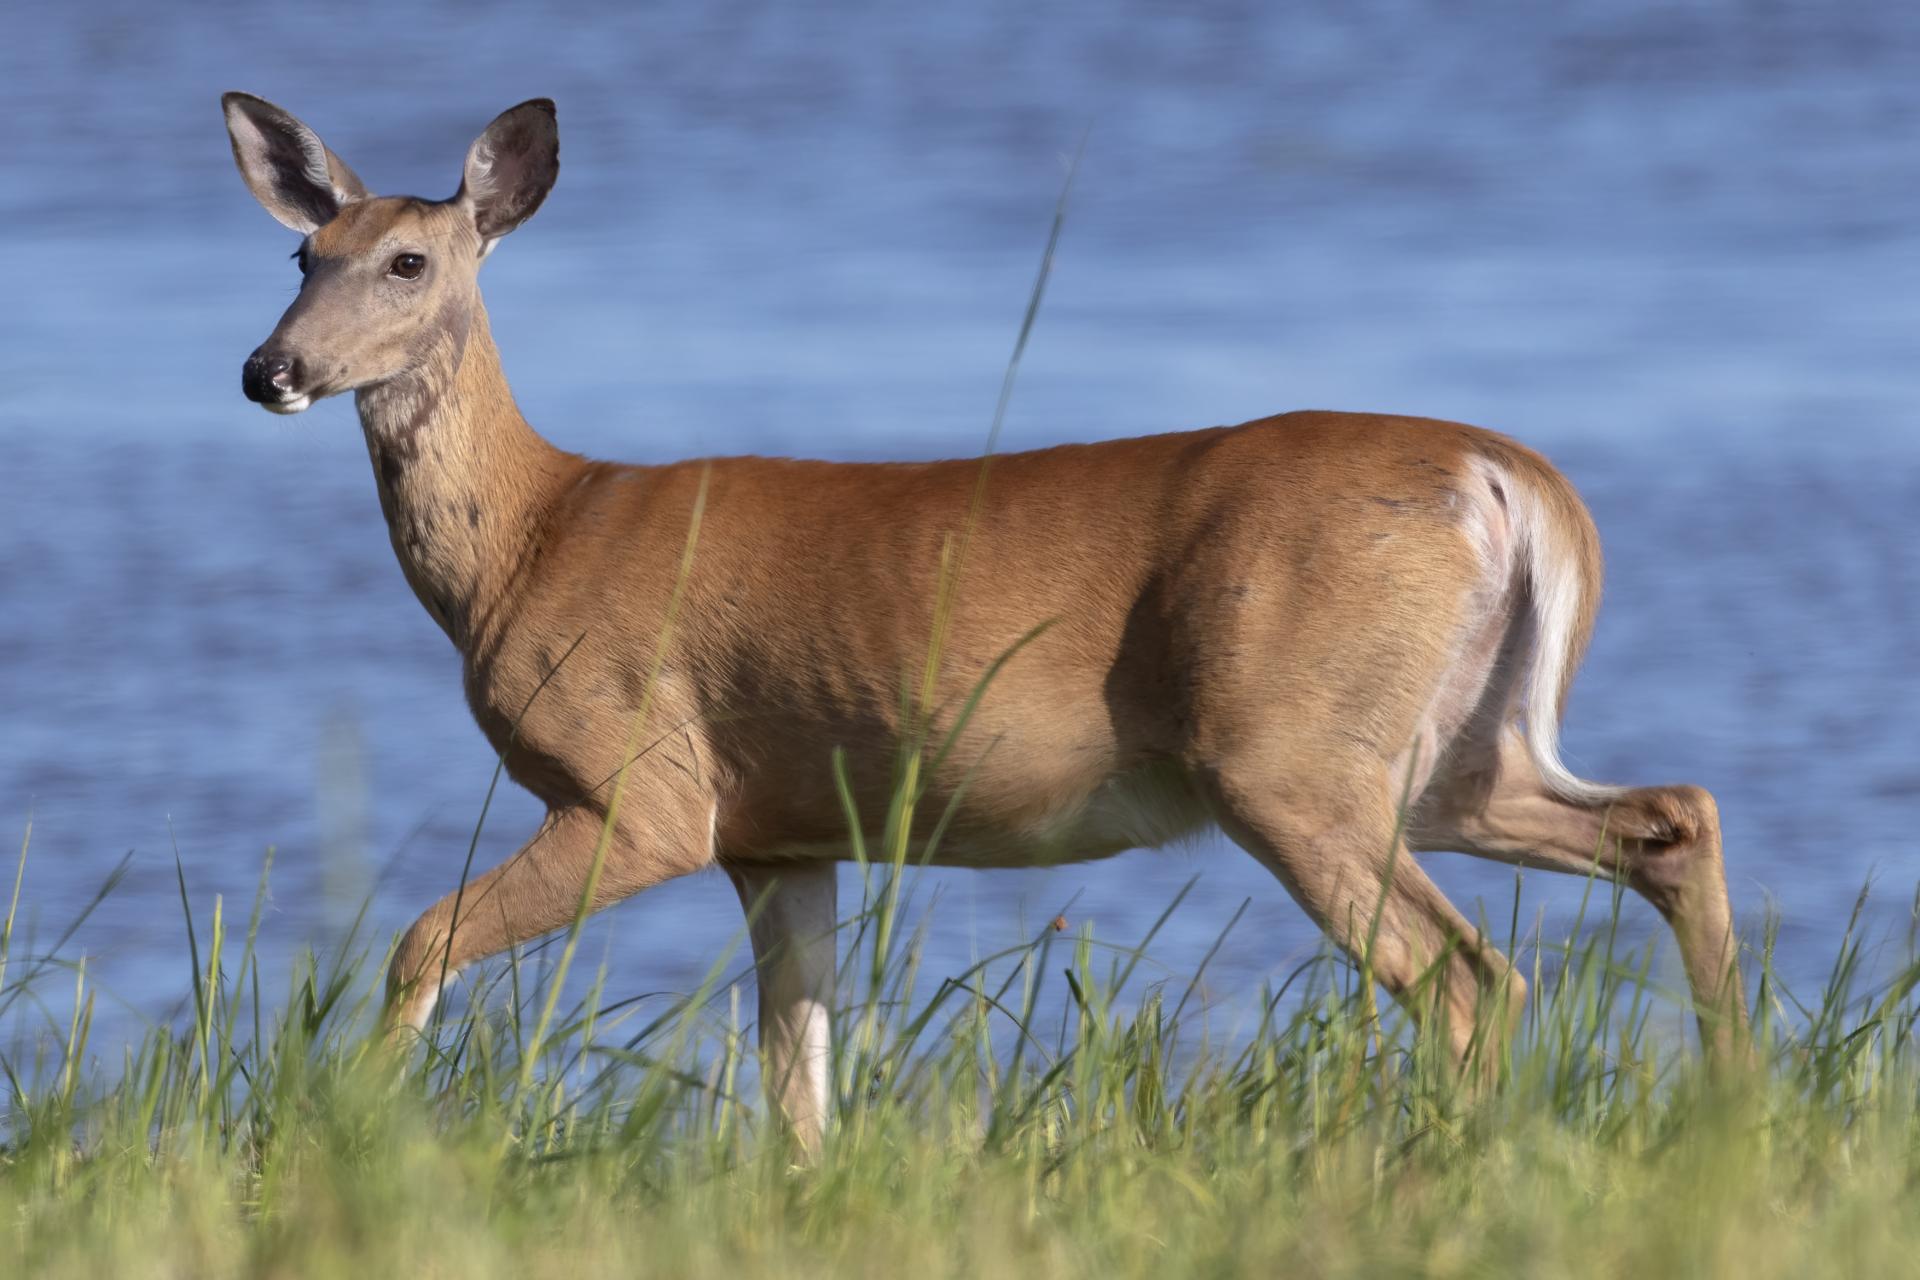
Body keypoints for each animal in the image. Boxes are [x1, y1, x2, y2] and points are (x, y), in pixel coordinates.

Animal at [221, 92, 1746, 1153]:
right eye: (300, 251)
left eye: (409, 261)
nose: (268, 369)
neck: (538, 531)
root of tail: (1511, 479)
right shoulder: (784, 834)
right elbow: (798, 1073)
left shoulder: (642, 790)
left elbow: (419, 941)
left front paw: (344, 1134)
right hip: (1451, 750)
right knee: (1668, 816)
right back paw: (1734, 1102)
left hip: (1291, 751)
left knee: (1472, 975)